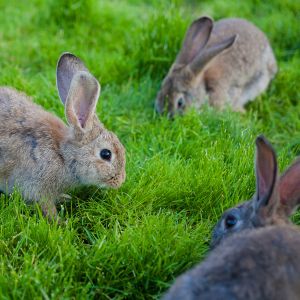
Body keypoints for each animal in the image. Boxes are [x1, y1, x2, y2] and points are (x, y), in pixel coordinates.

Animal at [0, 52, 125, 219]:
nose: (120, 181)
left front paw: (64, 198)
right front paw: (60, 221)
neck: (63, 155)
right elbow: (46, 207)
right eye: (106, 154)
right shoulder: (37, 187)